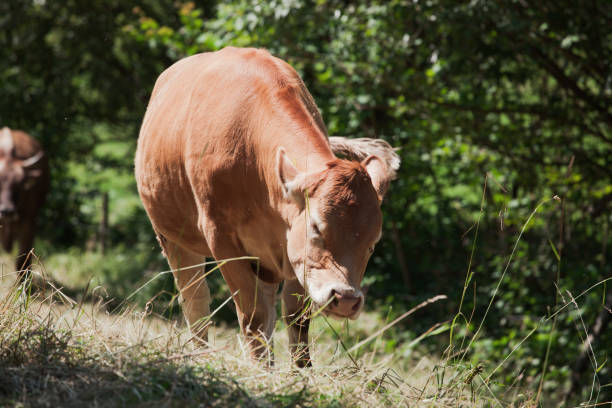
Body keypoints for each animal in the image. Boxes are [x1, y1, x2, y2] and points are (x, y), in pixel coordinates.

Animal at [136, 47, 400, 366]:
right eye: (316, 228)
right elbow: (253, 317)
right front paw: (260, 370)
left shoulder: (295, 252)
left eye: (373, 242)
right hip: (173, 237)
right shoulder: (223, 240)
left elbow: (297, 320)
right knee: (195, 301)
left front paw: (301, 373)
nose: (346, 299)